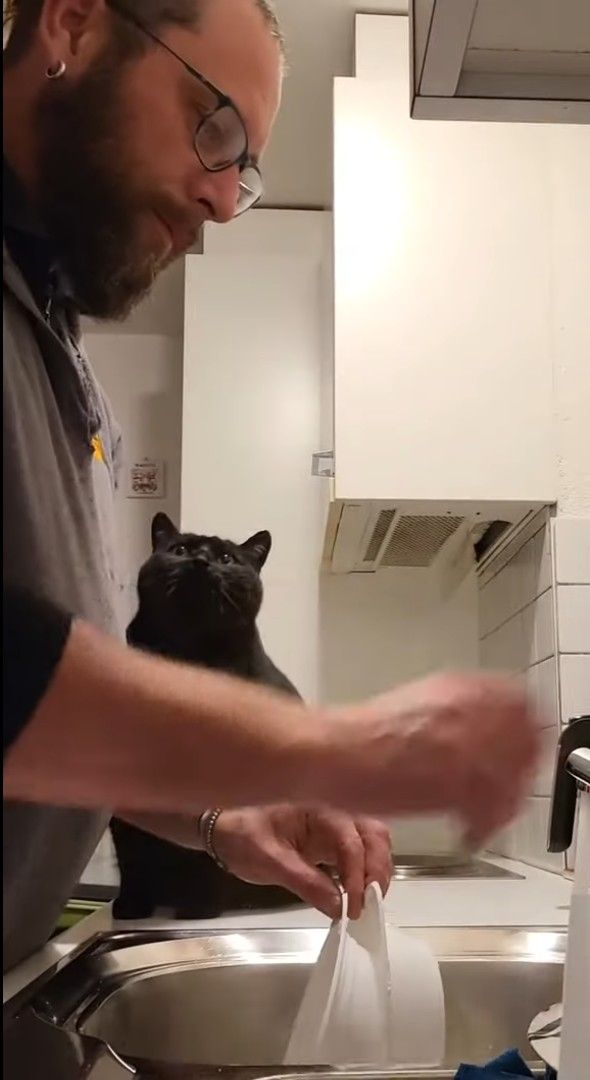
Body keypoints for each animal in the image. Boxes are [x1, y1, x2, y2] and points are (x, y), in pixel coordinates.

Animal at [110, 512, 303, 920]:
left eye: (228, 558)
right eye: (179, 549)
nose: (200, 561)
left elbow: (205, 853)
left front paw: (197, 909)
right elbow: (132, 854)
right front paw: (132, 907)